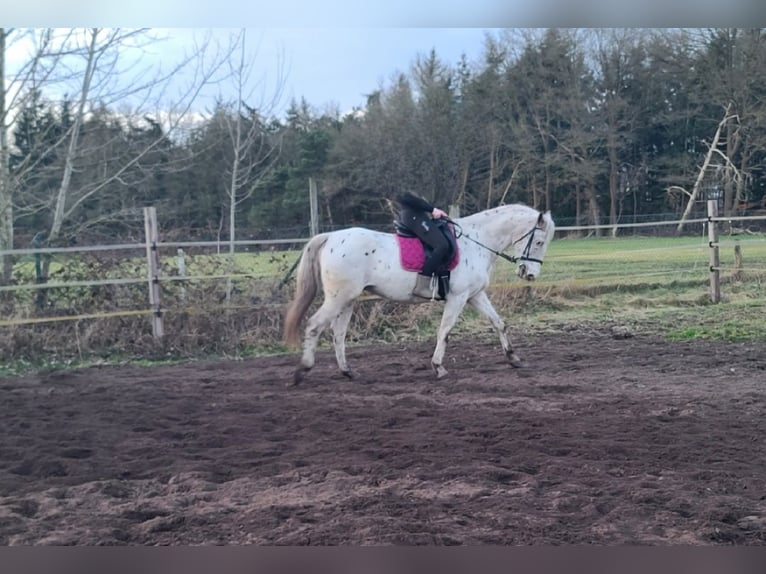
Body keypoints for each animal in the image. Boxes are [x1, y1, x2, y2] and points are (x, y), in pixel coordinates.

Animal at [284, 204, 556, 388]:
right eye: (539, 242)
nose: (530, 274)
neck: (477, 242)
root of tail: (331, 237)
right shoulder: (458, 297)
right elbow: (445, 330)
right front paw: (438, 367)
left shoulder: (475, 295)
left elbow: (499, 323)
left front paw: (514, 358)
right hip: (338, 298)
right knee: (314, 326)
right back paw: (301, 371)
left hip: (348, 299)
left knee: (338, 334)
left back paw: (347, 372)